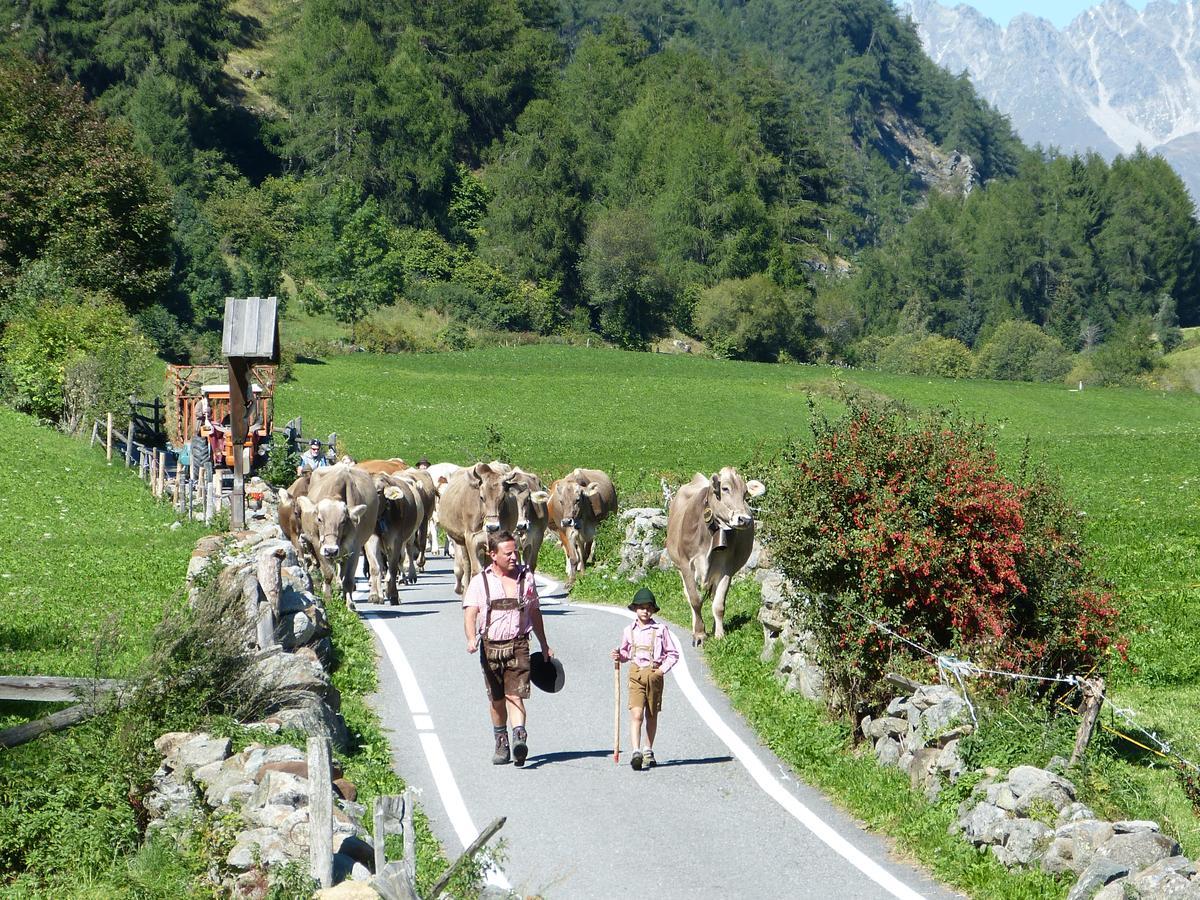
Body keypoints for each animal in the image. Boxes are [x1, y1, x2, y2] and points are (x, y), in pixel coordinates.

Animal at [297, 465, 376, 614]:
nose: (331, 550)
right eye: (319, 519)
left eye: (343, 521)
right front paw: (328, 599)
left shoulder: (354, 548)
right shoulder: (318, 545)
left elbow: (348, 579)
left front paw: (349, 604)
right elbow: (328, 574)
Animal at [662, 468, 763, 643]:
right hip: (679, 567)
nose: (744, 519)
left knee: (715, 596)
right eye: (725, 489)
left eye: (745, 493)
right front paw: (699, 633)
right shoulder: (686, 565)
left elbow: (719, 604)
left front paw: (720, 635)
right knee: (689, 596)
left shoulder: (726, 569)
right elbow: (695, 600)